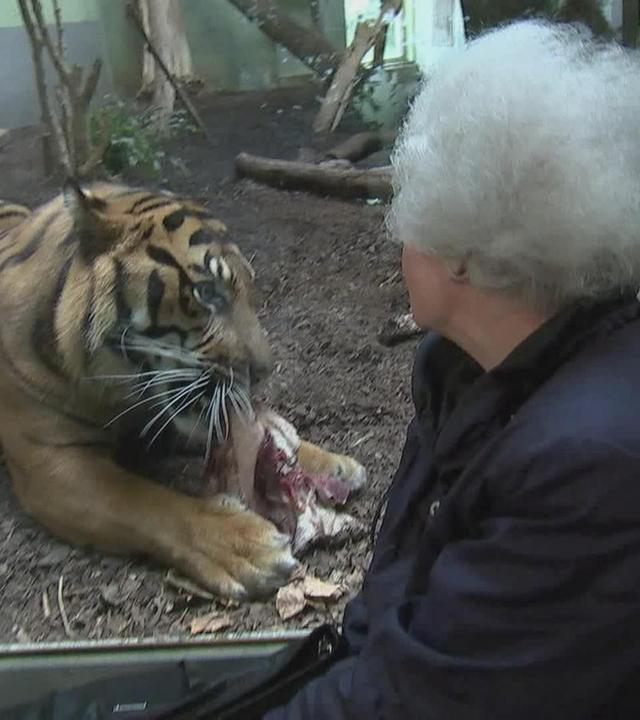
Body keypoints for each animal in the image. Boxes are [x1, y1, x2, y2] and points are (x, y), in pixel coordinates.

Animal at [0, 181, 366, 600]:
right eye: (207, 292)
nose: (262, 371)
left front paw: (330, 462)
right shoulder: (50, 461)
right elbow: (143, 503)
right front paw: (244, 546)